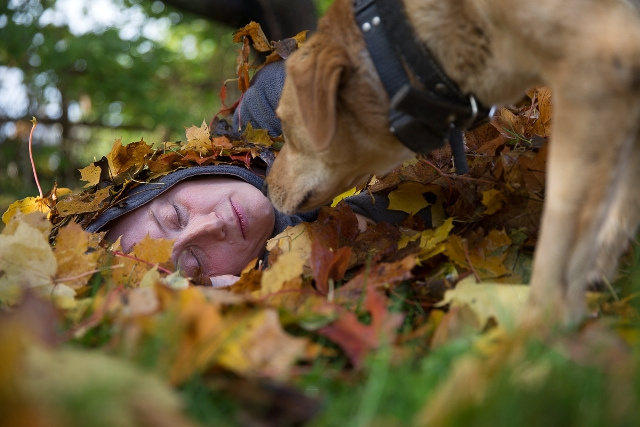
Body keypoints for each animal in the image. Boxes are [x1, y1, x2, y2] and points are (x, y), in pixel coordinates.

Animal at [266, 0, 640, 324]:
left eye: (284, 123)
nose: (267, 184)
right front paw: (600, 269)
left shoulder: (595, 68)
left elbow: (562, 234)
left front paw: (538, 332)